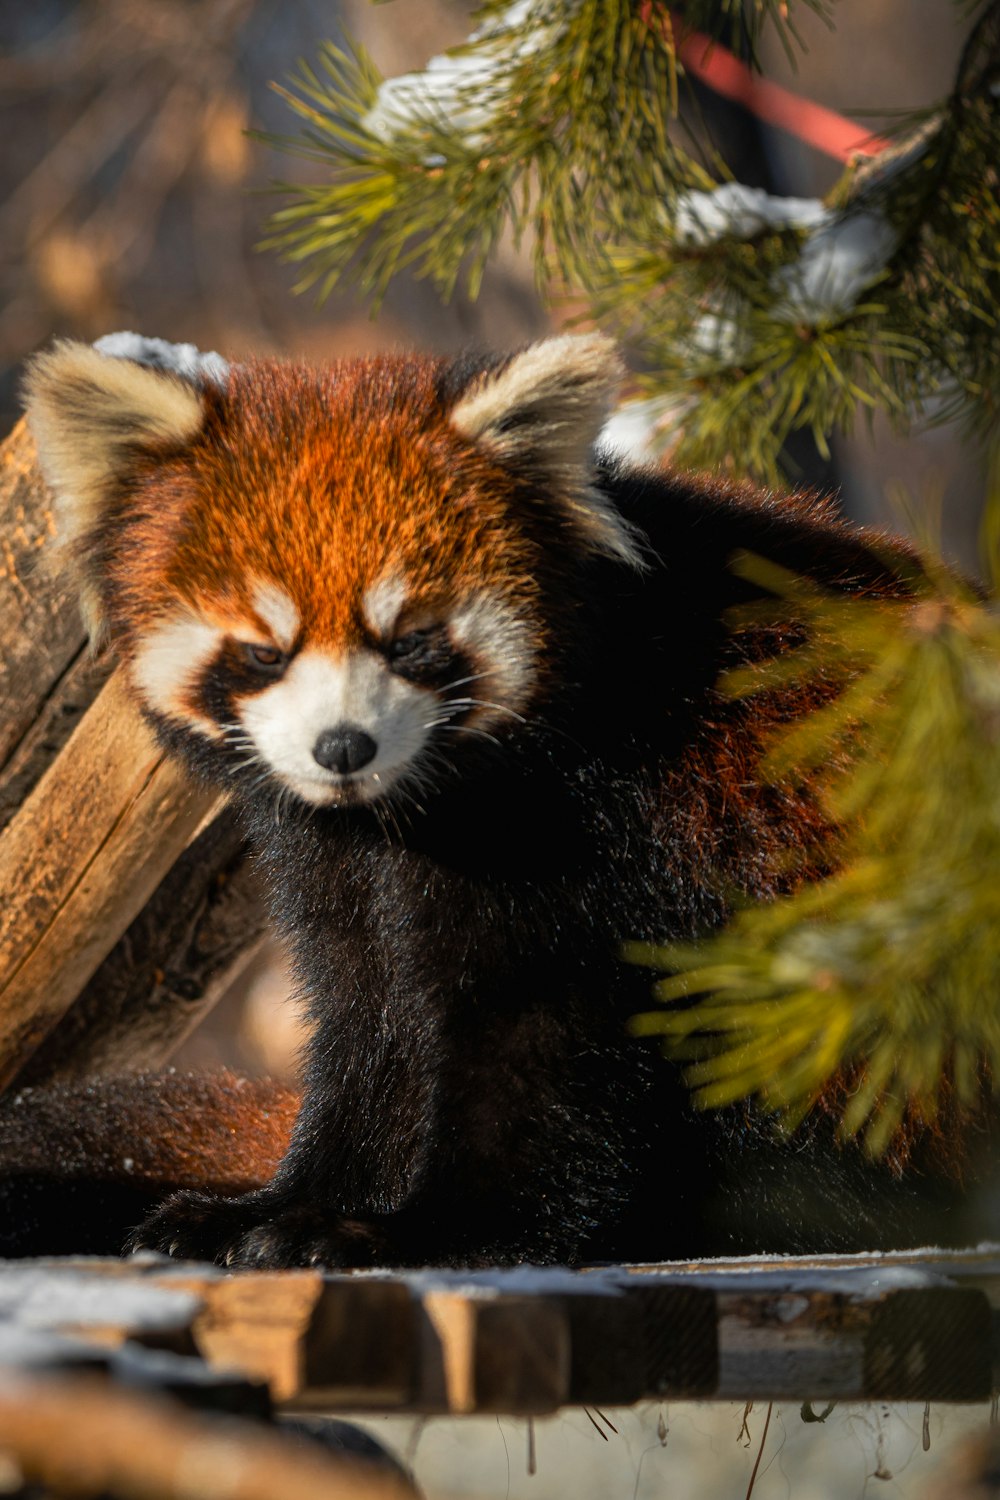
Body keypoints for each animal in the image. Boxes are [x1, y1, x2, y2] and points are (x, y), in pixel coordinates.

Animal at [11, 331, 959, 1266]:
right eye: (263, 651)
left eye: (411, 640)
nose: (342, 746)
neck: (411, 810)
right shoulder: (344, 864)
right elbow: (370, 1019)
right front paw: (284, 1206)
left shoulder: (598, 830)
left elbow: (540, 1042)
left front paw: (432, 1230)